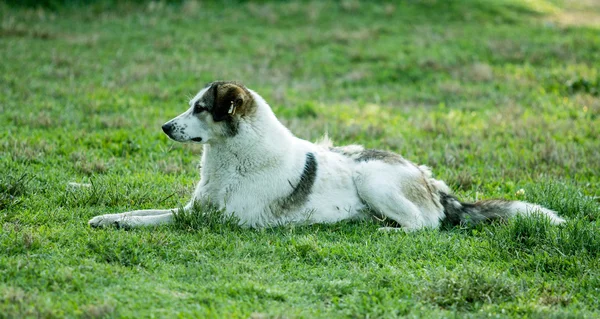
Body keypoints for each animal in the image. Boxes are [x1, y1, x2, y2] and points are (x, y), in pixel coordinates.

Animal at [86, 81, 564, 231]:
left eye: (200, 109)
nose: (165, 127)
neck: (232, 157)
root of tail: (431, 180)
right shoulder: (196, 209)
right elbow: (142, 212)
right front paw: (105, 219)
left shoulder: (217, 221)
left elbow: (154, 220)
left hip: (372, 179)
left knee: (426, 224)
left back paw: (387, 231)